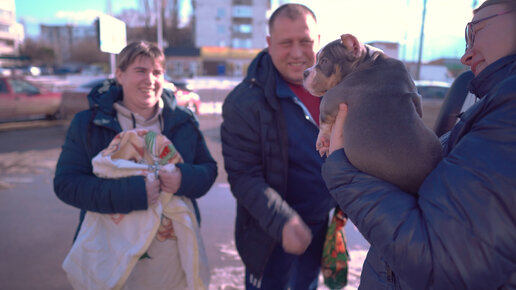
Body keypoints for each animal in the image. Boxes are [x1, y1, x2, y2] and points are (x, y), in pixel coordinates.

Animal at [302, 33, 444, 195]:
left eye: (324, 61)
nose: (304, 73)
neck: (369, 60)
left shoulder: (332, 96)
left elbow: (324, 119)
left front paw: (323, 141)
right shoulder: (416, 94)